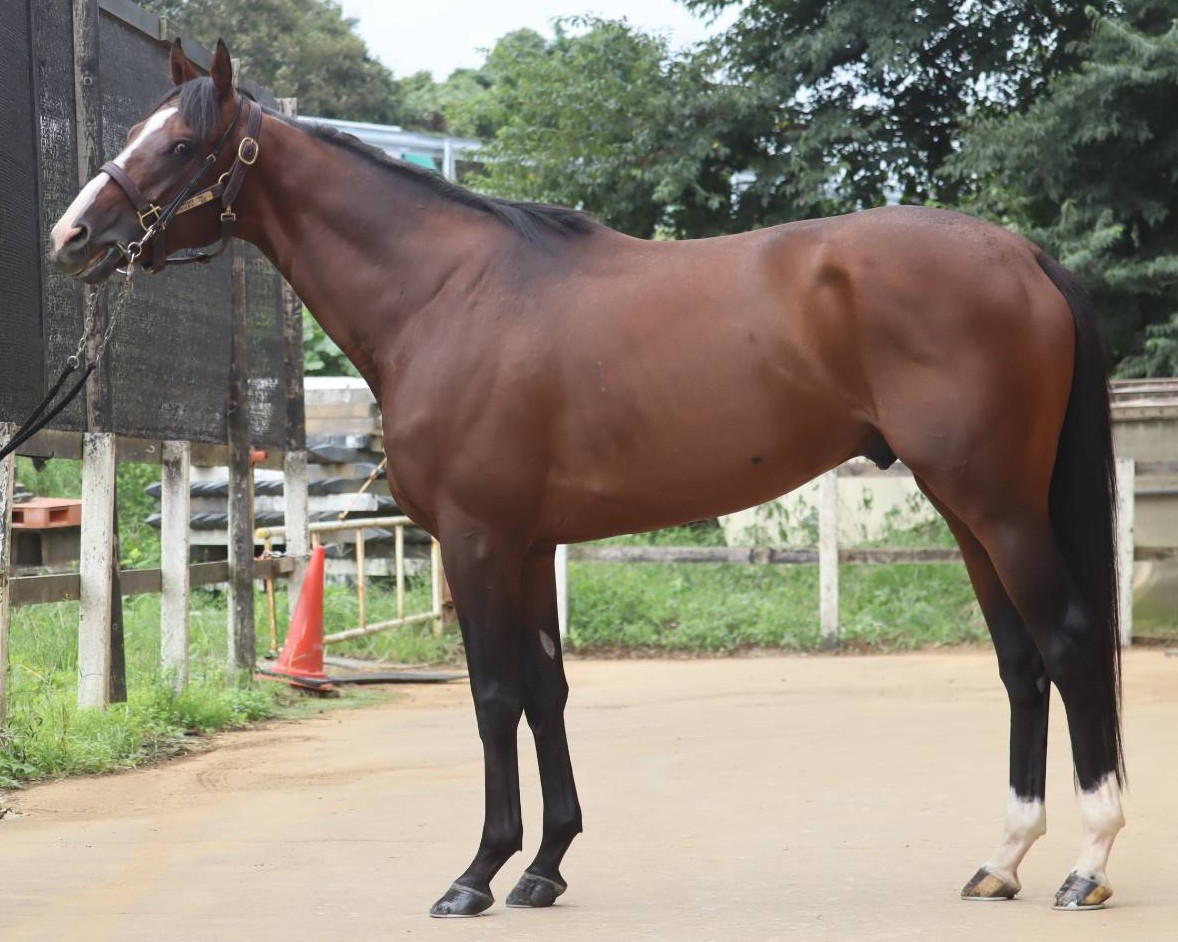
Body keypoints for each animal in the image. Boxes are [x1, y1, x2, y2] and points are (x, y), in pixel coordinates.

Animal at [50, 39, 1126, 917]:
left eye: (181, 145)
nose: (72, 239)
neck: (444, 295)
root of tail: (1023, 254)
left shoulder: (476, 540)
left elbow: (493, 696)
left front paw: (476, 875)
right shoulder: (527, 547)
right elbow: (546, 690)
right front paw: (543, 867)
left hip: (996, 506)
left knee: (1069, 646)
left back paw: (1085, 865)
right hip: (966, 509)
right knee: (1021, 662)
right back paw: (1001, 861)